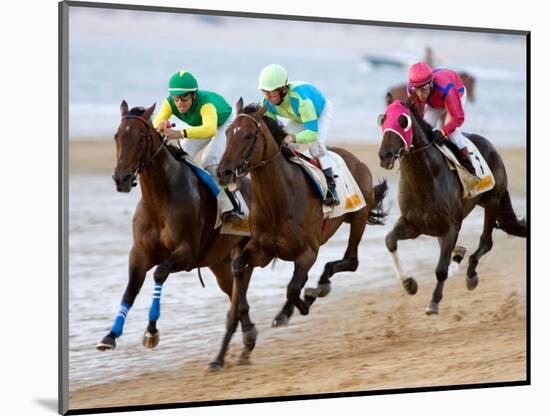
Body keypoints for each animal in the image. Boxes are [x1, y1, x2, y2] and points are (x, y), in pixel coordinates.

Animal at [96, 101, 254, 360]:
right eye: (117, 136)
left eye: (141, 139)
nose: (122, 179)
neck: (159, 201)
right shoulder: (139, 253)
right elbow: (131, 288)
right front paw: (110, 336)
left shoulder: (187, 252)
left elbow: (160, 273)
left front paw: (151, 330)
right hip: (219, 263)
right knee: (233, 290)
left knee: (239, 291)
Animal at [210, 98, 388, 368]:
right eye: (229, 133)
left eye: (249, 135)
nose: (223, 172)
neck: (279, 199)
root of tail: (355, 159)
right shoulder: (262, 251)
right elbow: (240, 268)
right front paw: (250, 330)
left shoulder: (308, 252)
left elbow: (293, 289)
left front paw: (298, 307)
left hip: (358, 217)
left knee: (351, 260)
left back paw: (318, 288)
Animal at [380, 93, 528, 316]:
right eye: (382, 119)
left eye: (402, 121)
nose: (385, 155)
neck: (424, 178)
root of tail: (491, 147)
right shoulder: (413, 224)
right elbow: (390, 240)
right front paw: (409, 283)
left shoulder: (451, 227)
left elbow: (440, 269)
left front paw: (433, 302)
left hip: (492, 201)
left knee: (486, 242)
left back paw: (471, 273)